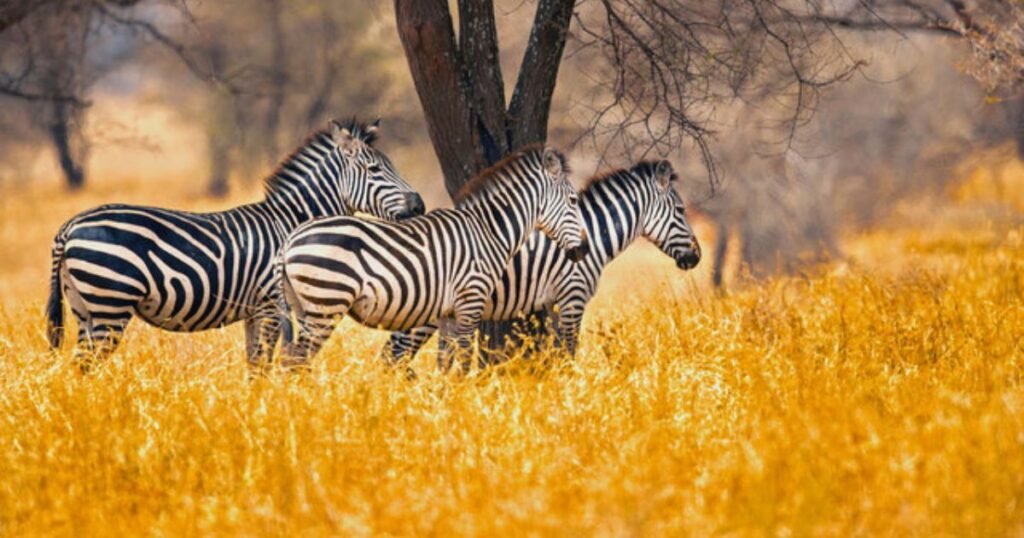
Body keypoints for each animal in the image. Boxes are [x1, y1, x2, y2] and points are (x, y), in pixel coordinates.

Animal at [46, 118, 425, 372]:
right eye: (374, 170)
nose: (419, 206)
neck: (291, 221)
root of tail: (70, 224)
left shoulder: (254, 311)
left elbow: (254, 364)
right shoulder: (272, 306)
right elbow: (264, 364)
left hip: (84, 307)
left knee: (79, 366)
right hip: (111, 303)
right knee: (88, 364)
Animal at [278, 145, 588, 373]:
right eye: (573, 201)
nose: (583, 250)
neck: (488, 231)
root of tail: (290, 239)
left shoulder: (448, 314)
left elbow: (445, 365)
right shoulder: (470, 302)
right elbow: (464, 362)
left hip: (305, 308)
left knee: (290, 360)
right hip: (326, 303)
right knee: (297, 361)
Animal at [382, 159, 701, 364]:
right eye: (681, 209)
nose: (696, 258)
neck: (592, 239)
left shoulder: (553, 304)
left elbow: (557, 352)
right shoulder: (573, 297)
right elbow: (570, 351)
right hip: (423, 311)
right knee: (396, 354)